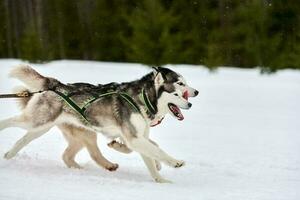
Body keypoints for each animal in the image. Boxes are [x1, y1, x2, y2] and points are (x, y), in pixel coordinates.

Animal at [0, 65, 197, 183]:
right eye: (179, 88)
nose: (191, 101)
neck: (143, 98)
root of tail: (56, 85)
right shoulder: (134, 138)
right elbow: (156, 150)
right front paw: (174, 162)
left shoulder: (138, 137)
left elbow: (152, 150)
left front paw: (160, 178)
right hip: (37, 122)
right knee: (9, 122)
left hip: (48, 128)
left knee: (56, 152)